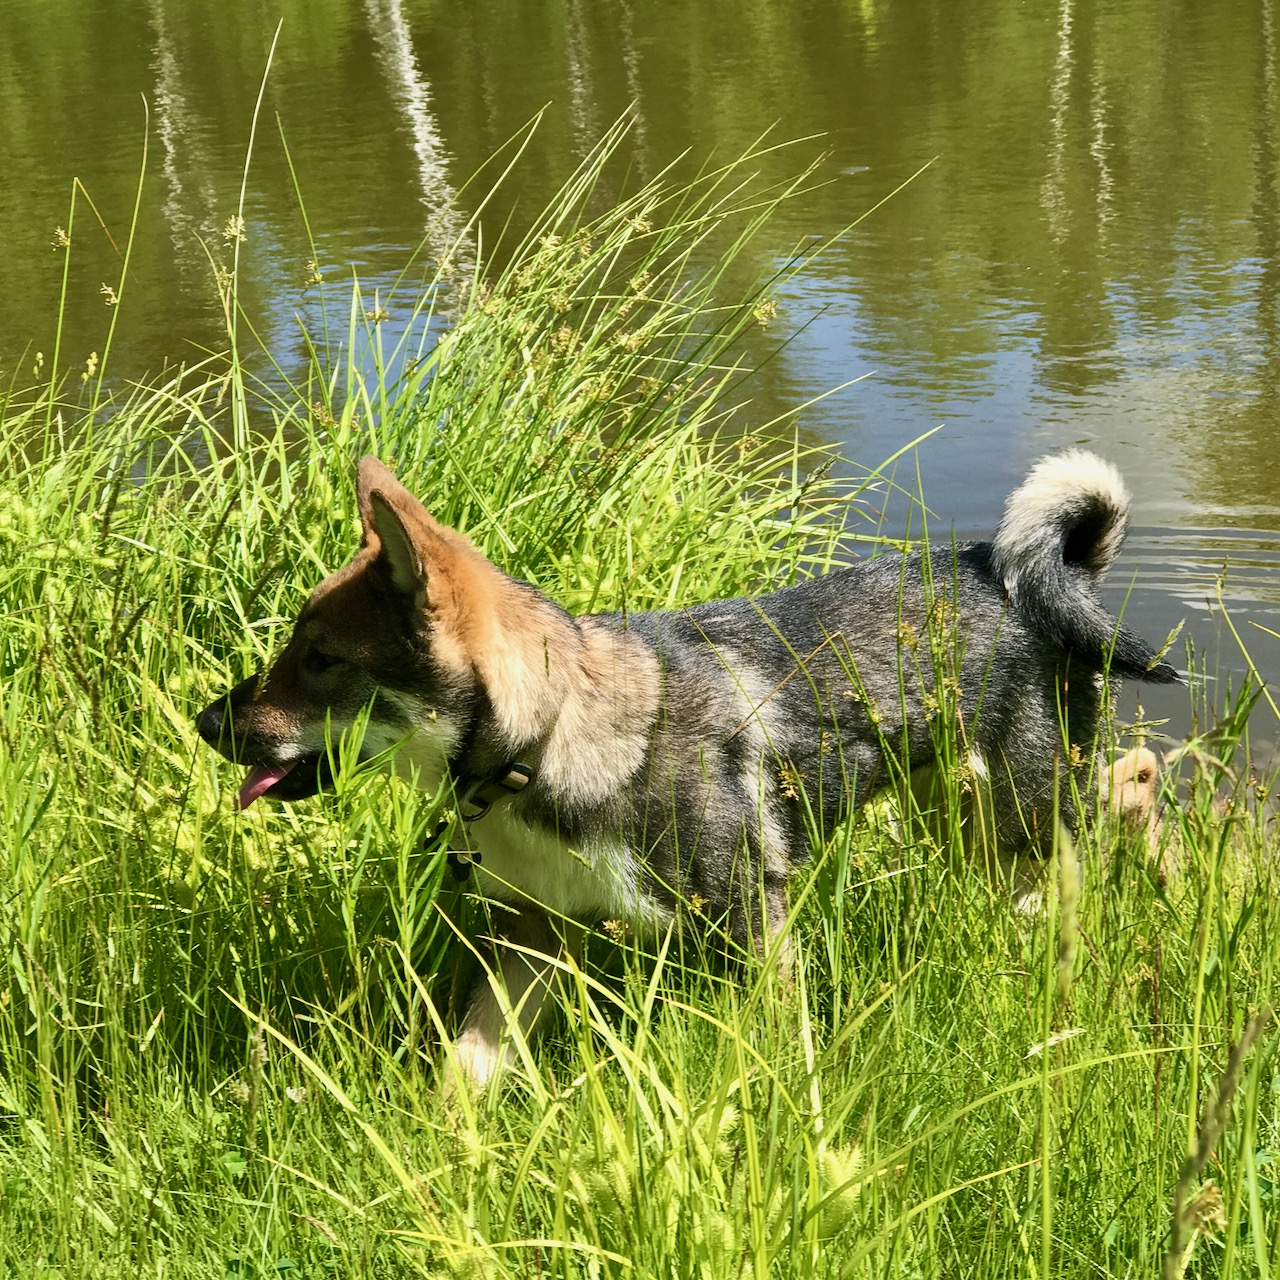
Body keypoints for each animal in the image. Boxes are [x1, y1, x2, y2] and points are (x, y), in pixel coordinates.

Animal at [197, 450, 1177, 1080]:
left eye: (320, 659)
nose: (207, 722)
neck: (551, 741)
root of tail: (1024, 571)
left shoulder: (753, 927)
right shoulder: (529, 942)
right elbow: (463, 1074)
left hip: (1025, 809)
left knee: (1136, 782)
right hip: (966, 820)